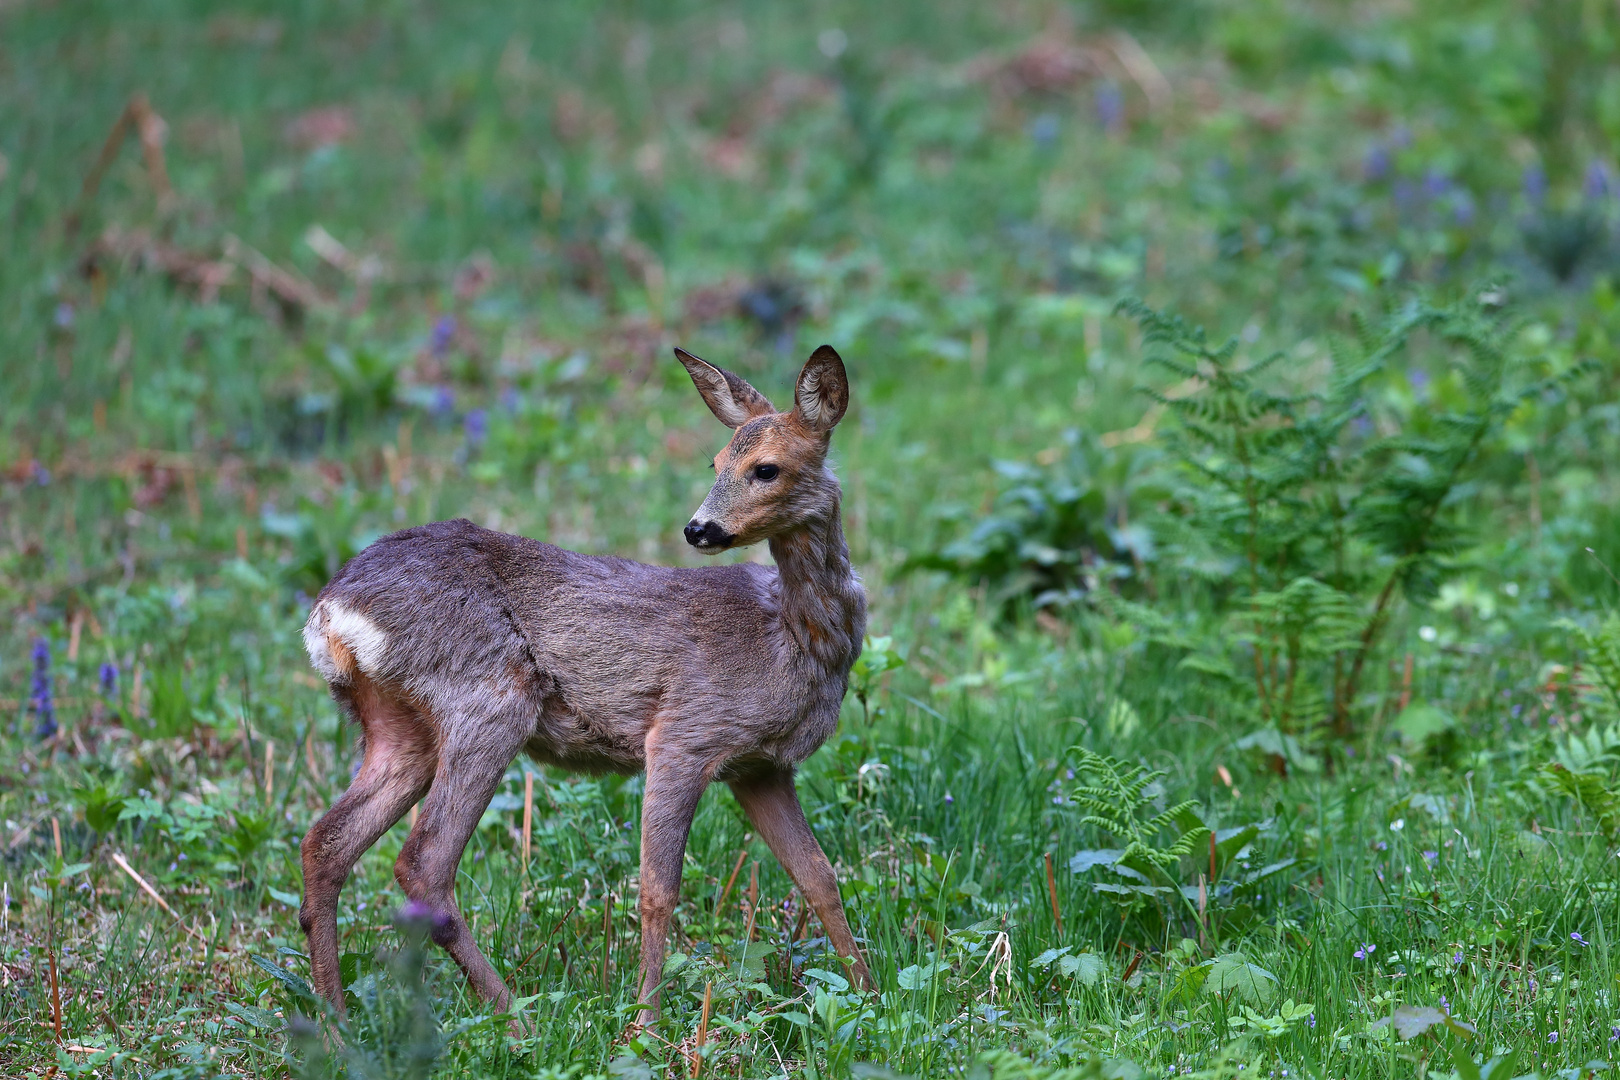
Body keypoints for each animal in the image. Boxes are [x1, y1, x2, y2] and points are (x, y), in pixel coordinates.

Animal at [296, 344, 868, 1023]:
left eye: (766, 468)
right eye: (716, 461)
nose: (698, 529)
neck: (791, 640)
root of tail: (332, 613)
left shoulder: (761, 766)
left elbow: (820, 877)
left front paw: (868, 993)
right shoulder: (684, 733)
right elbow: (657, 889)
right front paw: (645, 1022)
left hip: (399, 725)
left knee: (327, 842)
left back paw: (335, 1020)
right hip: (490, 698)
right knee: (422, 865)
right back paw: (516, 1016)